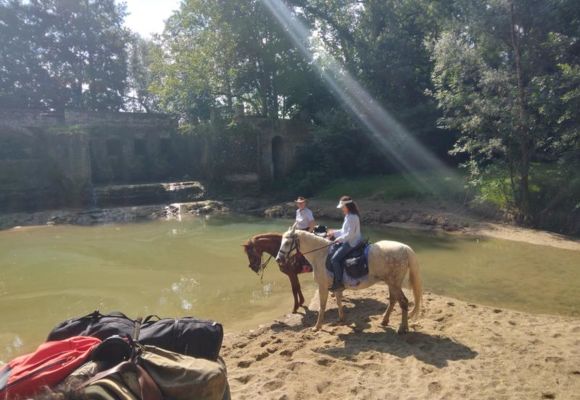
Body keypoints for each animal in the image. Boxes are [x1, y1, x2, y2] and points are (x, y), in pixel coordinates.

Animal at [276, 227, 422, 332]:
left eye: (287, 242)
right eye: (281, 242)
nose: (279, 259)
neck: (321, 255)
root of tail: (405, 248)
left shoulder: (322, 286)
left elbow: (322, 306)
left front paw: (317, 327)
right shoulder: (336, 287)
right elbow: (339, 302)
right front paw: (341, 319)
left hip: (394, 283)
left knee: (403, 302)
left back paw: (403, 328)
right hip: (391, 283)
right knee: (393, 301)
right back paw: (385, 321)